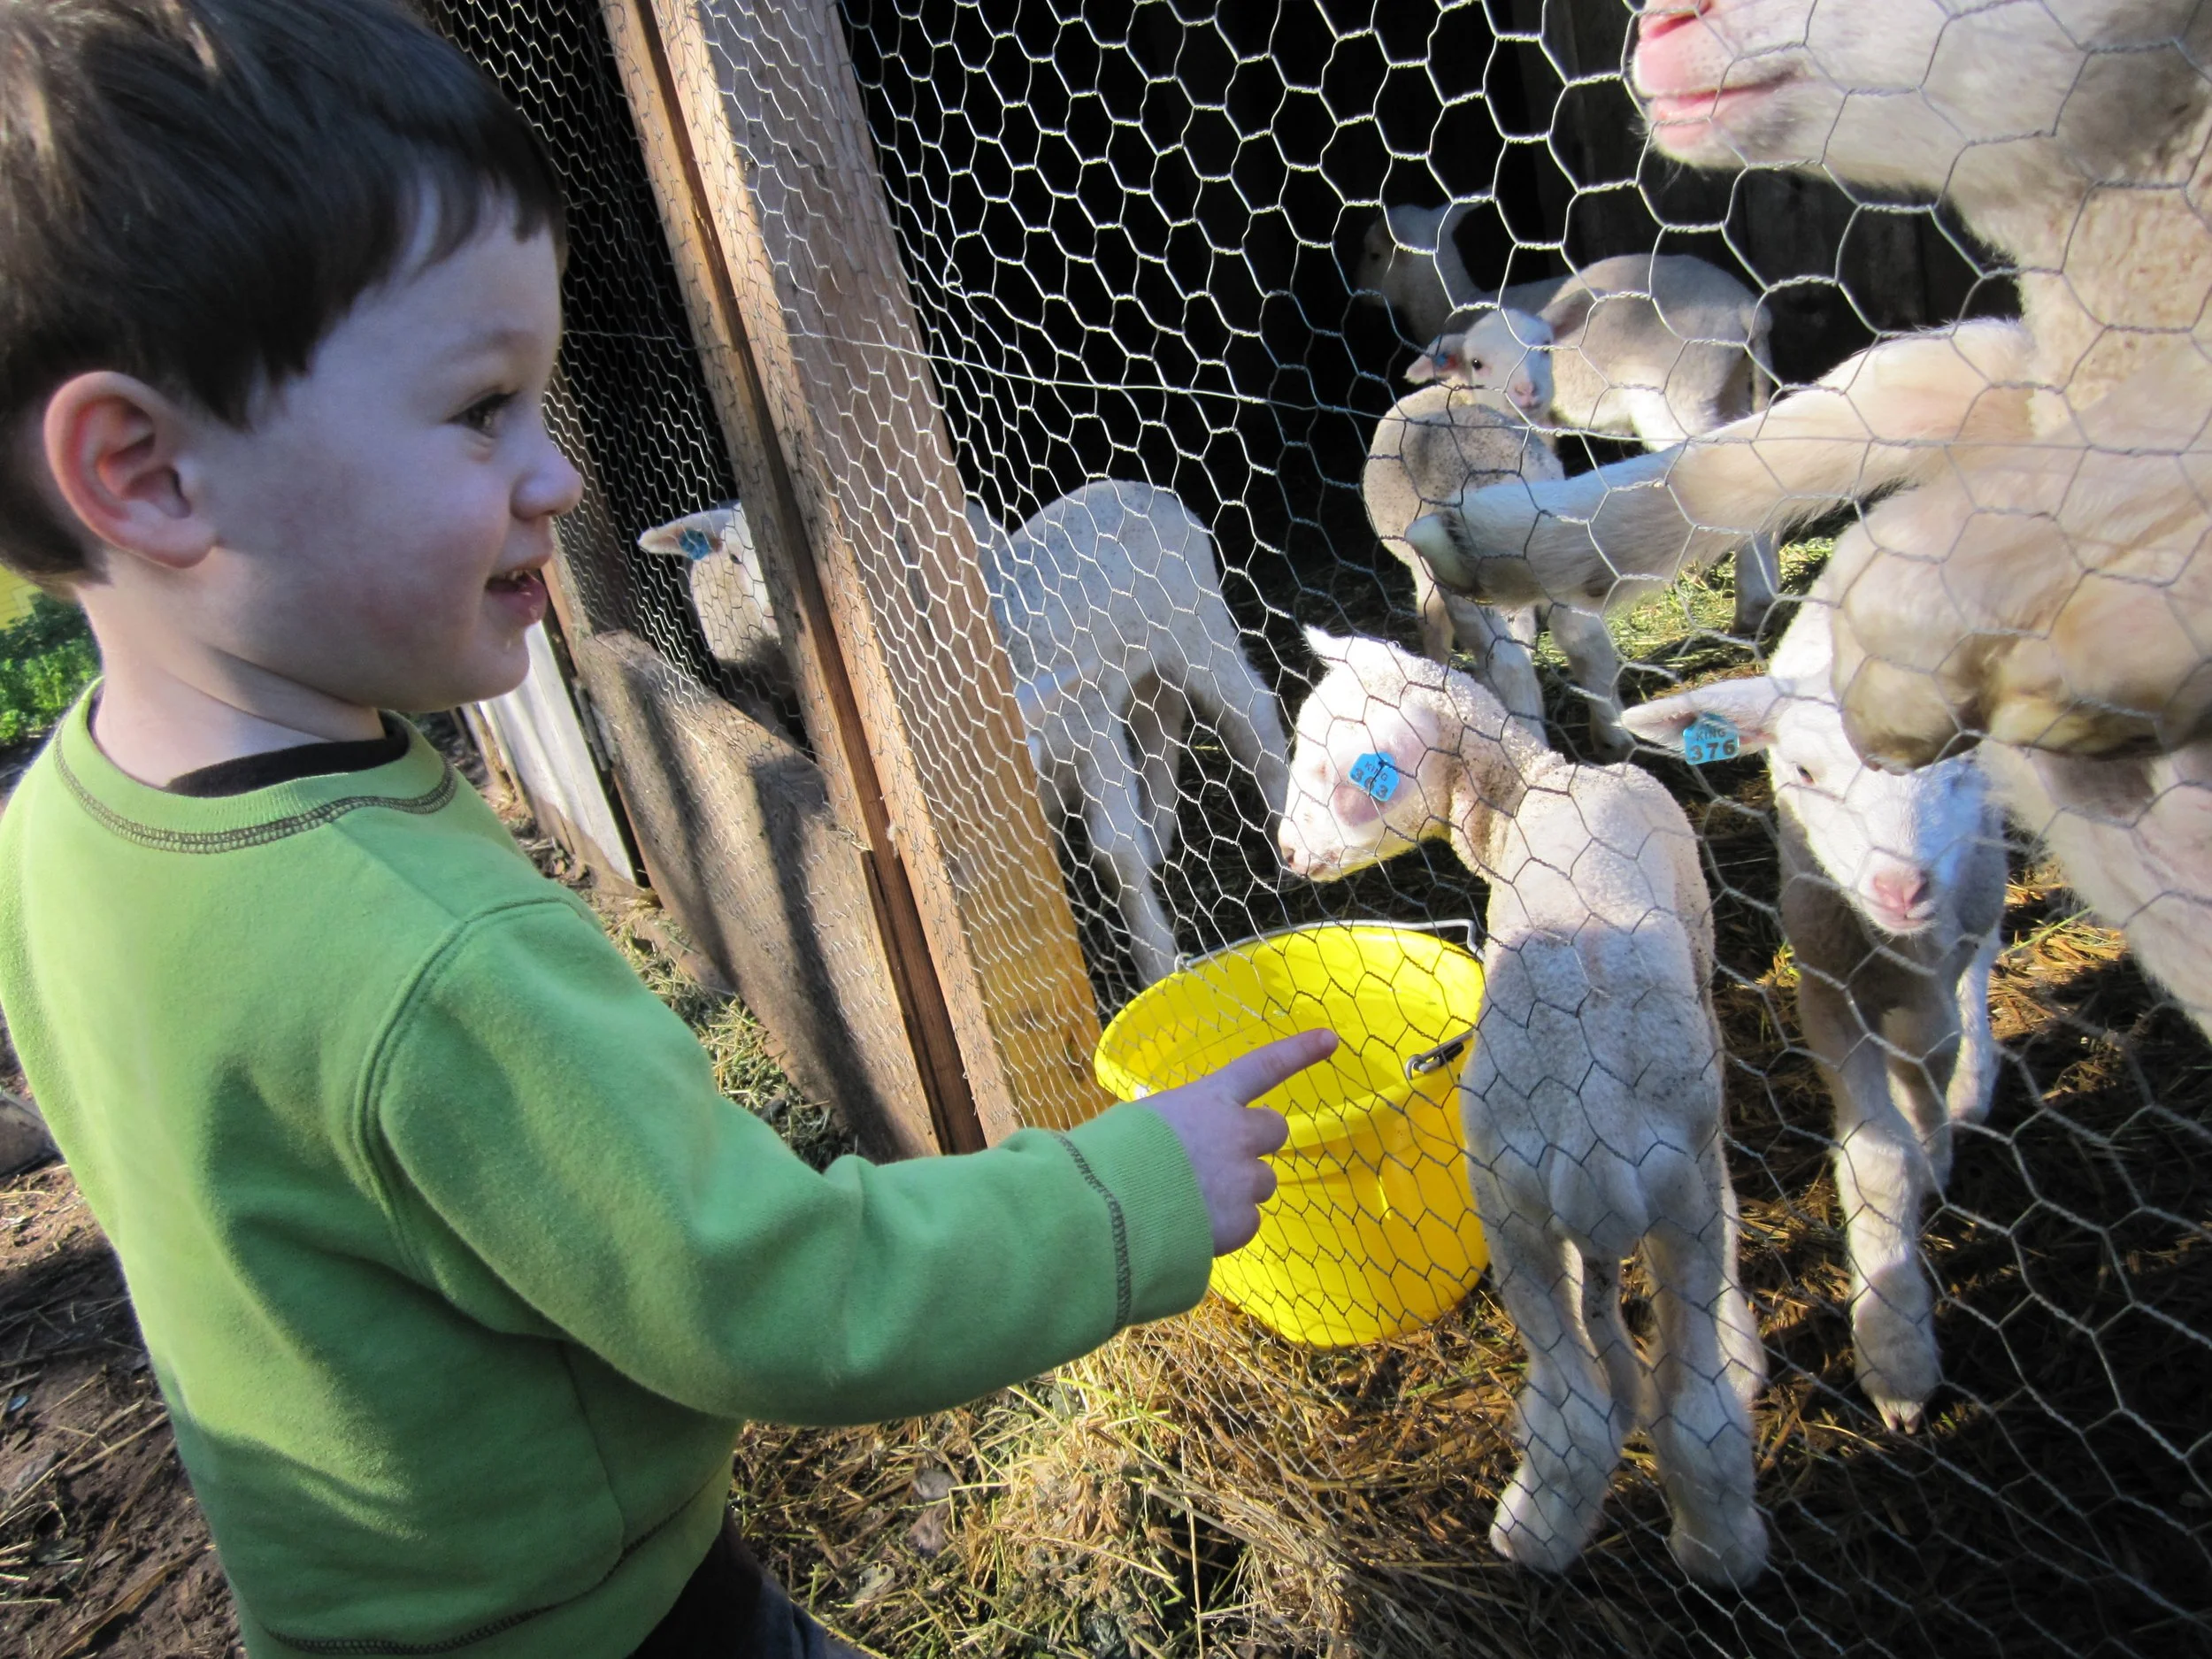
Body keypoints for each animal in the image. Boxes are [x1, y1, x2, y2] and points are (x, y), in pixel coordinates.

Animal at [644, 484, 1290, 988]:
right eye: (730, 556)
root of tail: (1148, 490)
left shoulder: (1090, 727)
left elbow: (1114, 849)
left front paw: (1155, 962)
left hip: (1199, 627)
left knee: (1250, 715)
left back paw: (1283, 829)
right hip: (1149, 657)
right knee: (1162, 720)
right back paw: (1161, 831)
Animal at [1279, 626, 1767, 1586]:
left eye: (1332, 765)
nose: (1283, 852)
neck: (1532, 792)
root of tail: (1595, 1142)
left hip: (1520, 1202)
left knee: (1618, 1406)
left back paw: (1560, 1539)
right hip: (1638, 1198)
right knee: (1668, 1405)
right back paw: (1696, 1550)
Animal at [1365, 308, 1636, 762]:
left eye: (1545, 347)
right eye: (1478, 362)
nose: (1527, 391)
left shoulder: (1434, 579)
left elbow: (1434, 633)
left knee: (1509, 664)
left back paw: (1529, 744)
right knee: (1585, 641)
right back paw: (1613, 734)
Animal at [1622, 605, 2006, 1430]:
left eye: (1960, 770)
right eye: (1803, 772)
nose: (1901, 887)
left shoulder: (1942, 948)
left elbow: (1931, 1049)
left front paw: (1935, 1147)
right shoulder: (1824, 983)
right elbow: (1874, 1159)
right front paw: (1895, 1350)